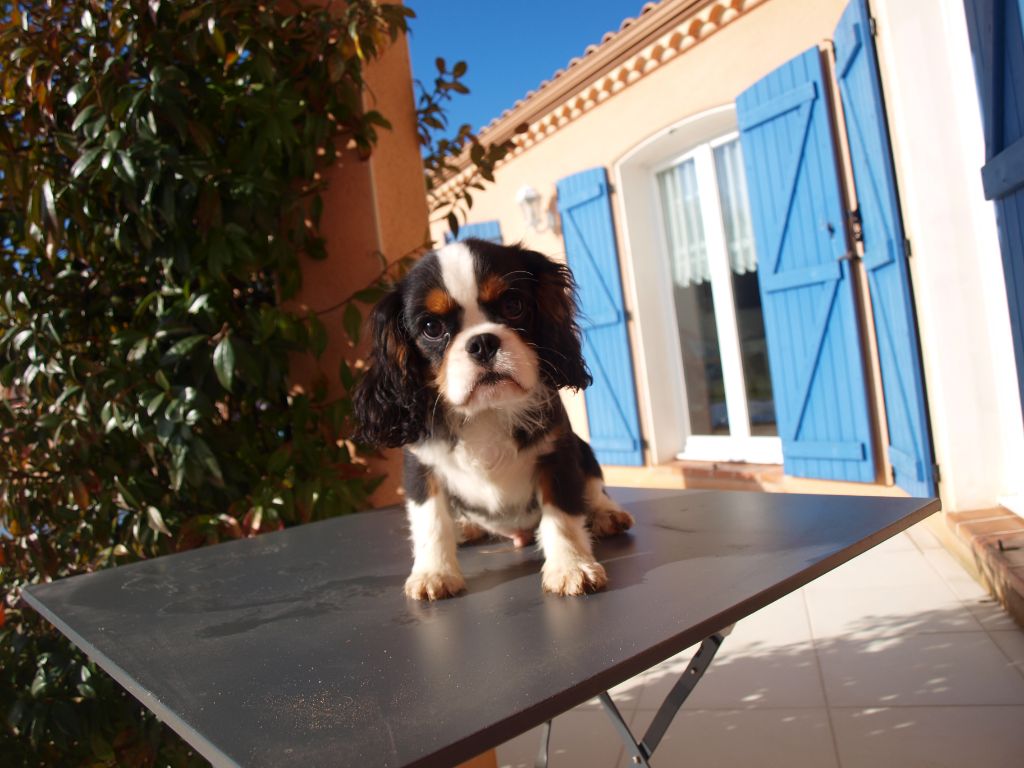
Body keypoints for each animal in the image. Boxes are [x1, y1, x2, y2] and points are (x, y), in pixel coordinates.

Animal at [356, 240, 634, 602]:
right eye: (432, 328)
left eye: (513, 305)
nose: (482, 342)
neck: (486, 411)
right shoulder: (420, 467)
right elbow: (431, 520)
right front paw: (434, 573)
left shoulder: (558, 453)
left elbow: (562, 514)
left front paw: (571, 565)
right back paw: (465, 526)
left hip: (583, 449)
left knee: (593, 486)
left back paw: (605, 513)